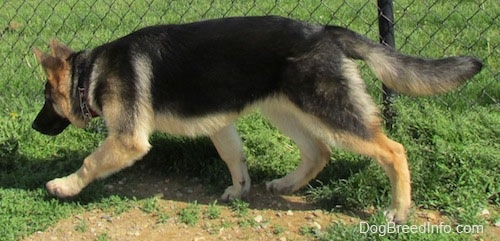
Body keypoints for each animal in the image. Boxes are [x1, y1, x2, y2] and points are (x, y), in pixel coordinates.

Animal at [32, 15, 480, 222]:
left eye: (46, 99)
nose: (34, 127)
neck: (91, 73)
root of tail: (325, 30)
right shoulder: (219, 124)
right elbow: (234, 158)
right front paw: (239, 189)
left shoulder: (127, 141)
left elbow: (90, 162)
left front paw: (64, 186)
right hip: (284, 110)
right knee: (318, 152)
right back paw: (287, 184)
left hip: (327, 111)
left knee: (393, 150)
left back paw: (398, 210)